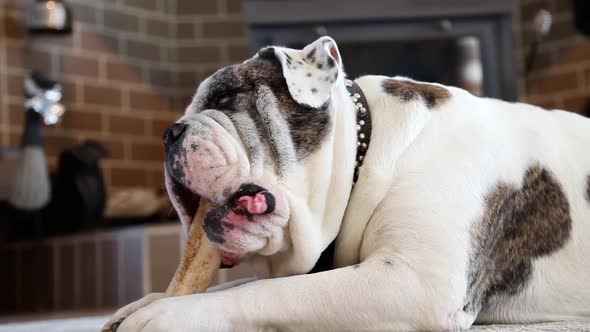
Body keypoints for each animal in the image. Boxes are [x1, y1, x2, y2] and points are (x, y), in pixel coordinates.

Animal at [107, 37, 590, 330]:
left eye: (226, 97)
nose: (169, 133)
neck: (368, 149)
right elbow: (236, 284)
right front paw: (146, 302)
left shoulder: (414, 281)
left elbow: (267, 291)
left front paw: (169, 314)